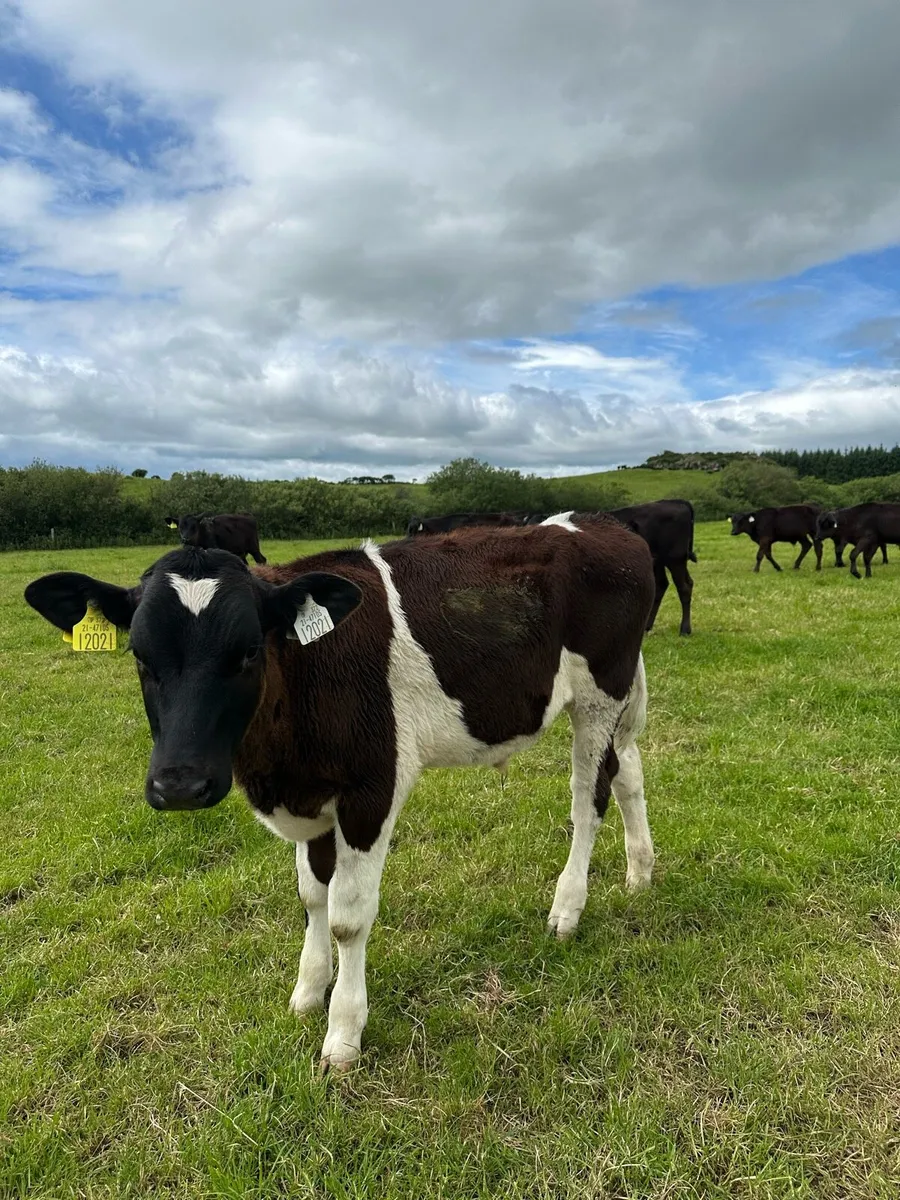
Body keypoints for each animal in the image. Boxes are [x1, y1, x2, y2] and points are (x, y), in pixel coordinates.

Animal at [24, 514, 655, 1073]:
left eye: (249, 651)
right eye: (140, 654)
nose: (180, 784)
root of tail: (604, 524)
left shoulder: (372, 787)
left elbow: (348, 916)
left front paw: (343, 1034)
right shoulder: (310, 797)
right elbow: (312, 897)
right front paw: (308, 990)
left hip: (599, 694)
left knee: (589, 798)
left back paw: (567, 907)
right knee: (627, 771)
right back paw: (640, 871)